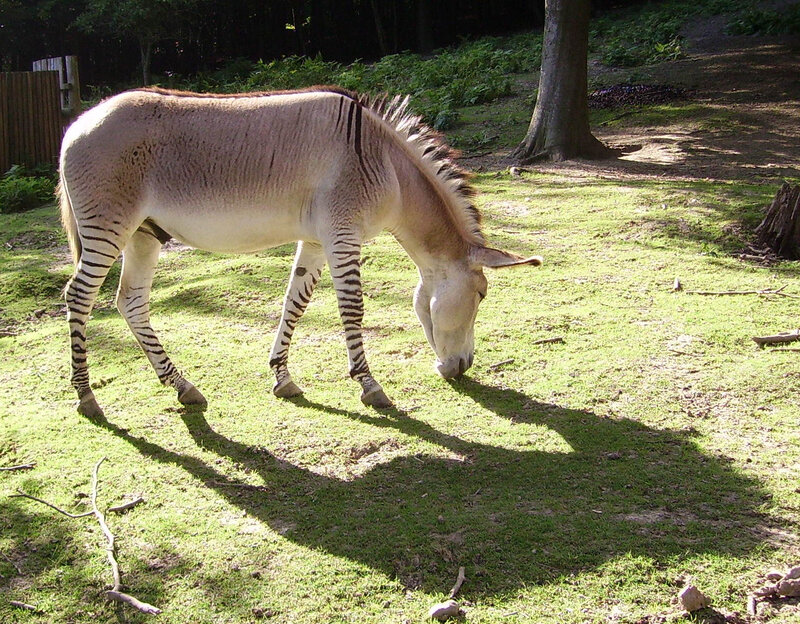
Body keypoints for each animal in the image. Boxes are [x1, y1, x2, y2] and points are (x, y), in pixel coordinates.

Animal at [59, 86, 541, 417]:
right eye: (481, 295)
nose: (463, 368)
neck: (386, 164)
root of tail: (77, 122)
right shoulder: (342, 234)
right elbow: (353, 309)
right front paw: (369, 386)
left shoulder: (316, 239)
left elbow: (296, 301)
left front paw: (282, 377)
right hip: (109, 227)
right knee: (79, 297)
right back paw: (86, 396)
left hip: (143, 234)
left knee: (131, 301)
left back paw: (182, 386)